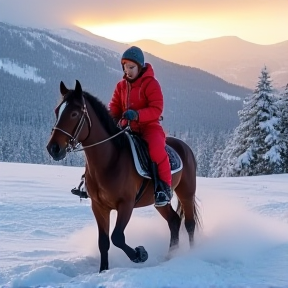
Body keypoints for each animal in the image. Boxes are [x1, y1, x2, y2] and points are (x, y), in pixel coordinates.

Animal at [46, 79, 200, 272]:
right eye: (57, 111)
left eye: (74, 113)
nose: (53, 148)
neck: (110, 160)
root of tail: (185, 147)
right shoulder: (99, 207)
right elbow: (104, 242)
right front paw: (103, 270)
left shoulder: (126, 205)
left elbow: (117, 237)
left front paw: (140, 254)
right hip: (160, 201)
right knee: (173, 221)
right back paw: (171, 255)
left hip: (186, 192)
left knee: (189, 224)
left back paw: (191, 254)